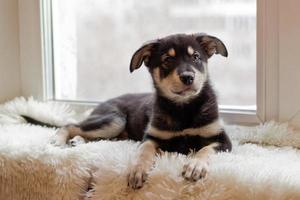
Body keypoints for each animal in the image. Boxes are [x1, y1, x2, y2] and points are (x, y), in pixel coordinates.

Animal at [49, 32, 232, 189]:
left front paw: (195, 165)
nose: (188, 77)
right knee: (71, 125)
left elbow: (205, 150)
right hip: (115, 120)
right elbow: (144, 151)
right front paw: (137, 170)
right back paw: (59, 139)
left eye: (196, 57)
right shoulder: (152, 137)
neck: (183, 107)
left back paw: (77, 141)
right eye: (167, 60)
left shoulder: (221, 139)